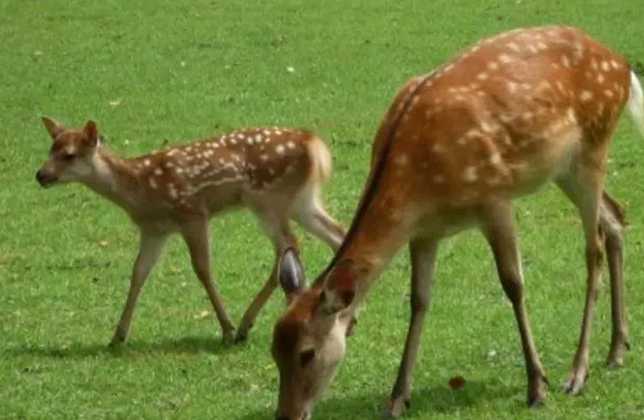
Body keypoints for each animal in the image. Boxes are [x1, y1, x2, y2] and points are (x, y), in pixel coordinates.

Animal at [34, 118, 348, 344]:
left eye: (69, 155)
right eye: (50, 149)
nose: (40, 175)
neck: (140, 191)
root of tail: (314, 144)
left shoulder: (193, 213)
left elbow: (202, 269)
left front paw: (226, 328)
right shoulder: (154, 231)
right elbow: (138, 273)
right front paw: (118, 336)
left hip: (268, 199)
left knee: (289, 245)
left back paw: (245, 325)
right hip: (301, 201)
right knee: (336, 234)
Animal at [272, 27, 644, 420]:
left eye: (307, 353)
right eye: (273, 350)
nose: (287, 415)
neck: (420, 184)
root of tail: (621, 64)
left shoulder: (495, 199)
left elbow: (514, 285)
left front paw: (537, 385)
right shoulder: (424, 231)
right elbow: (419, 300)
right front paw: (397, 397)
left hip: (594, 145)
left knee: (594, 247)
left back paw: (577, 373)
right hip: (565, 169)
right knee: (616, 217)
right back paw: (617, 350)